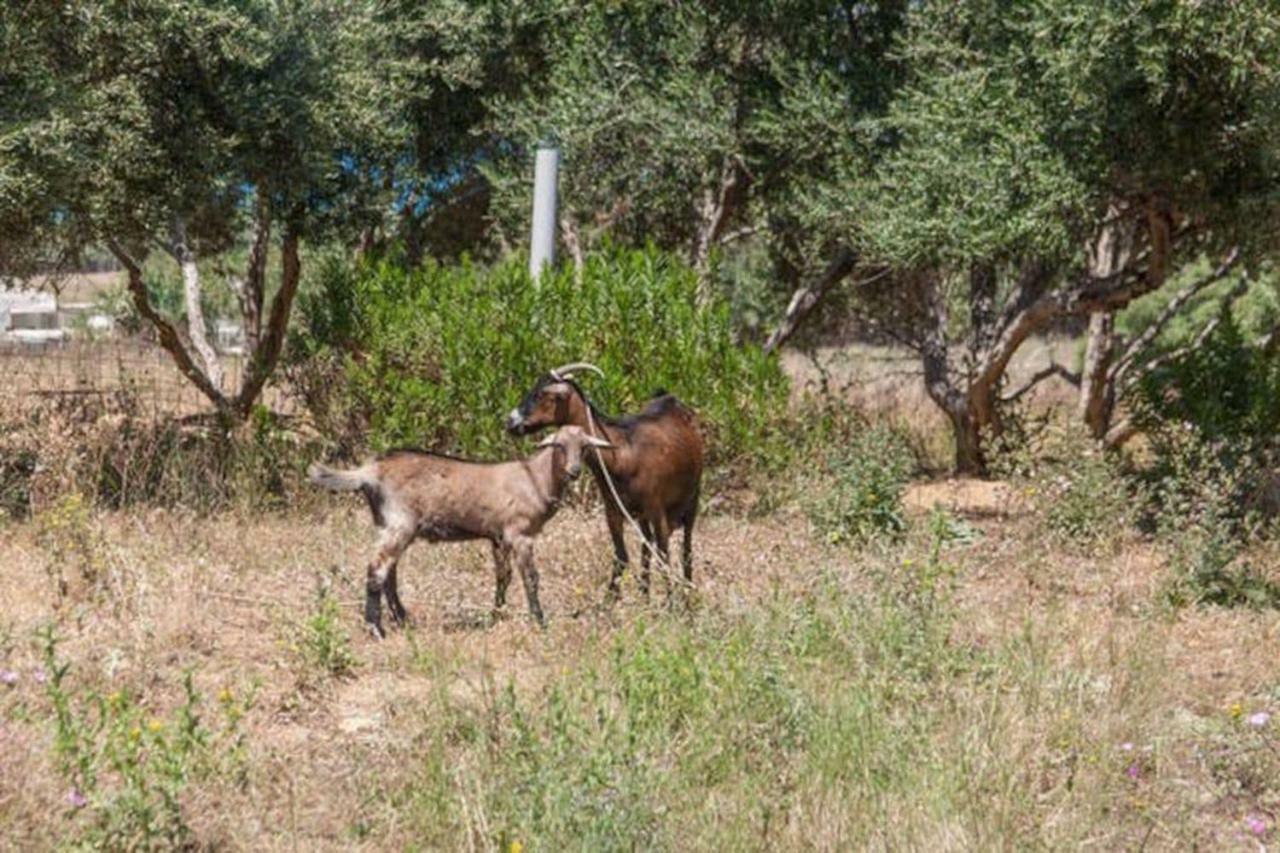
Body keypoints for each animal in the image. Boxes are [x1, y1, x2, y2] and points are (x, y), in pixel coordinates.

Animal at [308, 425, 609, 630]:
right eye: (559, 446)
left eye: (584, 447)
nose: (574, 471)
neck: (534, 478)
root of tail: (369, 472)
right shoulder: (519, 534)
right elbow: (531, 578)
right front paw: (539, 620)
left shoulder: (498, 537)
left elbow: (503, 577)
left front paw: (496, 614)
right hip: (399, 523)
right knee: (377, 569)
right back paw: (376, 628)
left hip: (387, 524)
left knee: (389, 573)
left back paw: (403, 618)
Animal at [501, 361, 701, 594]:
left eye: (541, 394)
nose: (511, 421)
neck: (623, 453)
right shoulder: (612, 510)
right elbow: (622, 556)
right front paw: (610, 600)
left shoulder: (657, 508)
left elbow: (664, 557)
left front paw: (672, 601)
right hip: (642, 515)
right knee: (646, 547)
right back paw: (645, 594)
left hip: (692, 497)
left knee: (686, 547)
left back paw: (687, 594)